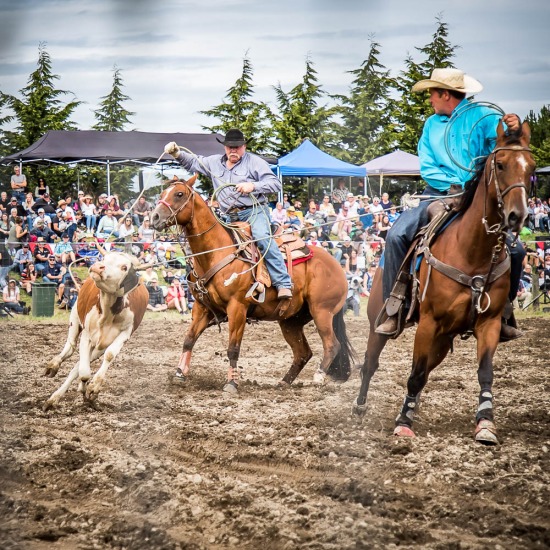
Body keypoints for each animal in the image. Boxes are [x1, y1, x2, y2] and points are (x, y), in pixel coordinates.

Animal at [149, 175, 356, 394]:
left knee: (331, 344)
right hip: (291, 320)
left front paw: (231, 383)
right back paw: (283, 383)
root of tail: (337, 266)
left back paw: (318, 377)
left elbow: (233, 349)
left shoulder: (237, 308)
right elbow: (188, 340)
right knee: (303, 353)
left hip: (322, 311)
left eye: (179, 194)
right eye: (163, 193)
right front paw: (179, 374)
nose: (154, 217)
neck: (216, 252)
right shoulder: (202, 308)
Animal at [354, 123, 536, 446]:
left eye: (532, 167)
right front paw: (403, 423)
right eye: (501, 164)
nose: (518, 216)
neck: (472, 251)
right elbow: (414, 374)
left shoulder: (488, 323)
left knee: (426, 369)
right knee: (371, 362)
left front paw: (486, 424)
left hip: (443, 339)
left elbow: (485, 372)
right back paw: (361, 407)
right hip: (382, 321)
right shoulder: (429, 323)